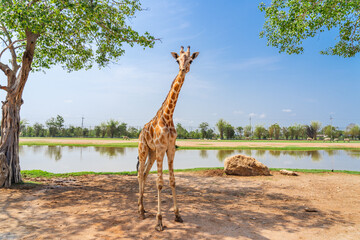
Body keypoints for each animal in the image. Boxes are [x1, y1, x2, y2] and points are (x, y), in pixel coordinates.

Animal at [137, 46, 200, 232]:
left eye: (190, 60)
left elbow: (172, 181)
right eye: (177, 59)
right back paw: (140, 210)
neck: (168, 115)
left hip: (151, 153)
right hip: (143, 149)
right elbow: (159, 183)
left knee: (144, 173)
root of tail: (140, 132)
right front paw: (159, 221)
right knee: (139, 174)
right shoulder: (160, 148)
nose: (183, 69)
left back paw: (143, 209)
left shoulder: (170, 148)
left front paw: (178, 215)